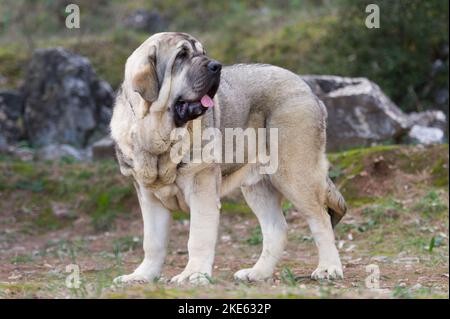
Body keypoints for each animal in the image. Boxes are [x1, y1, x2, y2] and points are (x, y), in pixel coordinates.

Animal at [110, 31, 348, 284]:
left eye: (202, 53)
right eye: (181, 56)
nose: (216, 66)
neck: (158, 136)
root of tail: (307, 89)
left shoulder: (201, 188)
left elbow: (198, 237)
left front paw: (194, 274)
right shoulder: (149, 197)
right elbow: (152, 243)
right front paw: (142, 276)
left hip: (295, 175)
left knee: (321, 219)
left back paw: (329, 268)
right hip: (258, 187)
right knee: (276, 229)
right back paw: (257, 273)